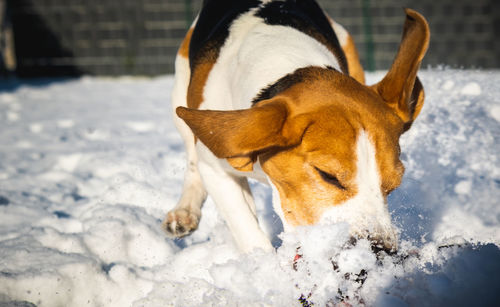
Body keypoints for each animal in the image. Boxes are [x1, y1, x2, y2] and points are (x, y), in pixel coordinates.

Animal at [164, 0, 430, 254]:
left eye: (393, 185)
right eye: (327, 175)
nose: (379, 250)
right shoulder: (217, 168)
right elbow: (249, 232)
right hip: (180, 98)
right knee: (192, 158)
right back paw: (185, 210)